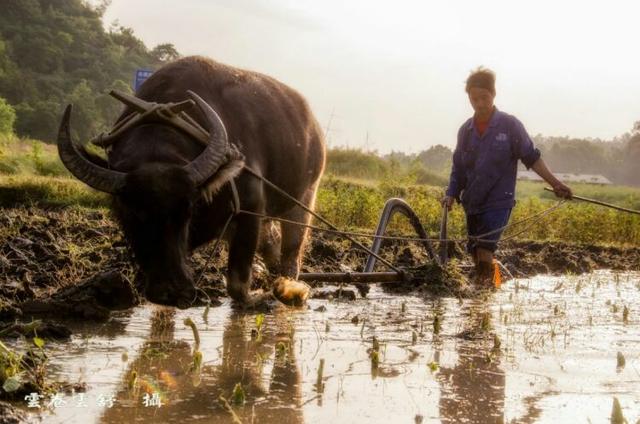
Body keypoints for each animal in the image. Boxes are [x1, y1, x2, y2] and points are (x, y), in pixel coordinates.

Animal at [56, 56, 324, 308]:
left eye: (188, 210)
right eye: (131, 213)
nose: (172, 291)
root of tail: (313, 124)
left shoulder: (251, 209)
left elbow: (237, 285)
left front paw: (259, 297)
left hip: (304, 198)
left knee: (292, 251)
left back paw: (289, 289)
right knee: (272, 244)